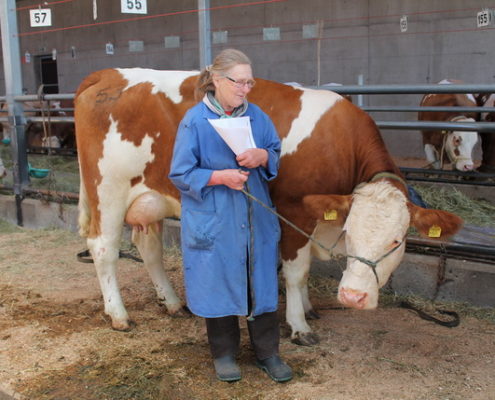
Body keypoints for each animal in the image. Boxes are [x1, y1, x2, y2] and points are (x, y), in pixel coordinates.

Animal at [75, 68, 464, 344]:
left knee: (148, 248)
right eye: (351, 232)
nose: (354, 297)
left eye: (396, 241)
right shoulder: (295, 211)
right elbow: (296, 272)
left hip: (149, 197)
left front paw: (307, 308)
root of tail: (107, 74)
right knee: (103, 248)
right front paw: (298, 324)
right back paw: (119, 315)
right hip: (107, 190)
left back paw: (171, 302)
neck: (340, 143)